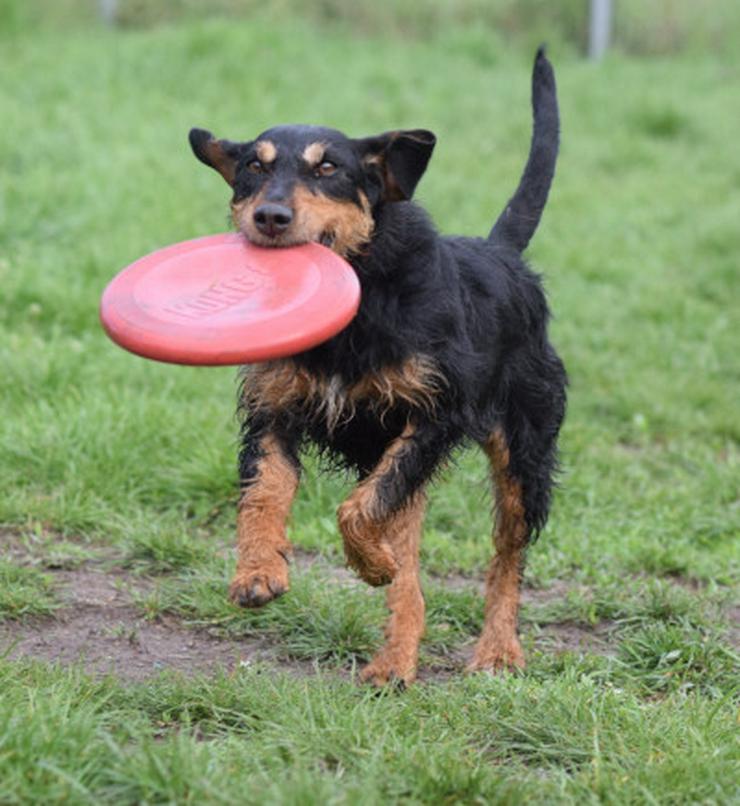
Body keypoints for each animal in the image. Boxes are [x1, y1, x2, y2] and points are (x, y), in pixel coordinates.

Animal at [189, 47, 568, 684]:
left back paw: (497, 649)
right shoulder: (274, 410)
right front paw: (258, 572)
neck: (360, 303)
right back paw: (395, 661)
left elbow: (359, 507)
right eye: (251, 168)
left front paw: (368, 565)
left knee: (508, 553)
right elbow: (266, 487)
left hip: (525, 448)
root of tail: (502, 255)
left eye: (328, 168)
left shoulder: (435, 416)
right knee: (410, 569)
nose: (269, 216)